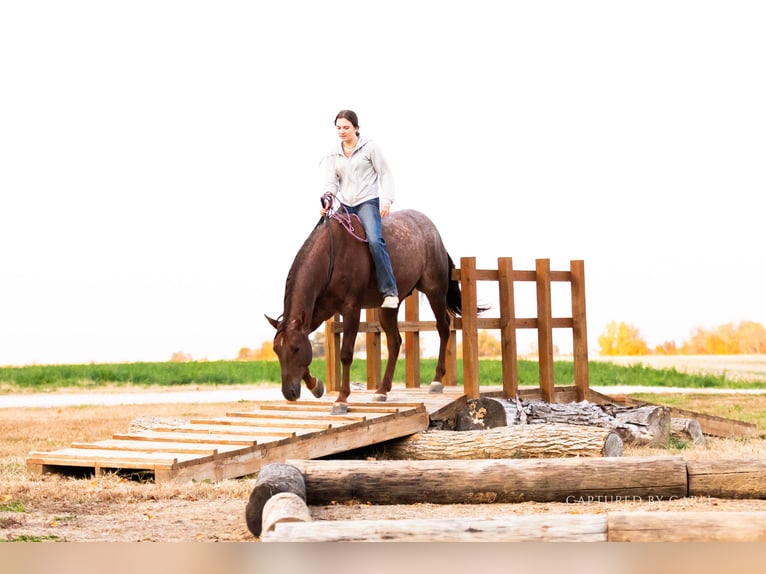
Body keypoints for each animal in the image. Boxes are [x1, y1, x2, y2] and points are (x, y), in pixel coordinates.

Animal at [266, 208, 463, 414]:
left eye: (295, 349)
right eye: (276, 350)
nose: (289, 393)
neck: (332, 255)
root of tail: (432, 231)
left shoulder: (351, 309)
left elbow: (346, 354)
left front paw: (341, 399)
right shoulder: (318, 313)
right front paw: (316, 386)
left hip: (435, 291)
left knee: (443, 328)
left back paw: (437, 381)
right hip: (388, 308)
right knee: (394, 342)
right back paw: (382, 390)